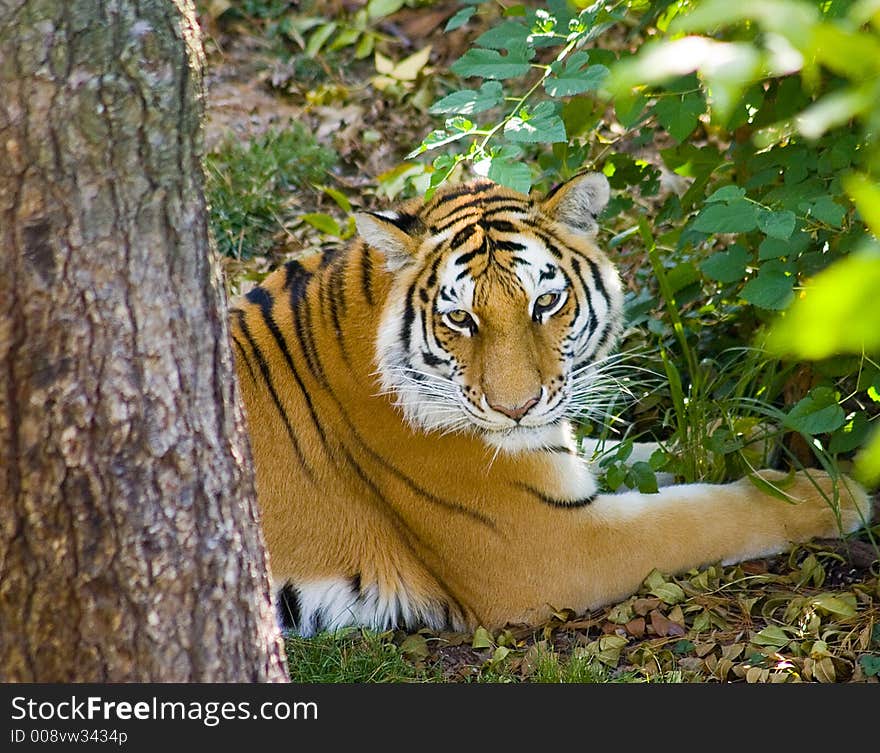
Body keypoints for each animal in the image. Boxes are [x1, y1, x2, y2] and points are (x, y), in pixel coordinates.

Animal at [229, 172, 872, 636]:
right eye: (459, 318)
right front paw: (830, 494)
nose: (516, 408)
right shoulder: (552, 546)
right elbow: (702, 514)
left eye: (546, 302)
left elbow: (632, 451)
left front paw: (741, 432)